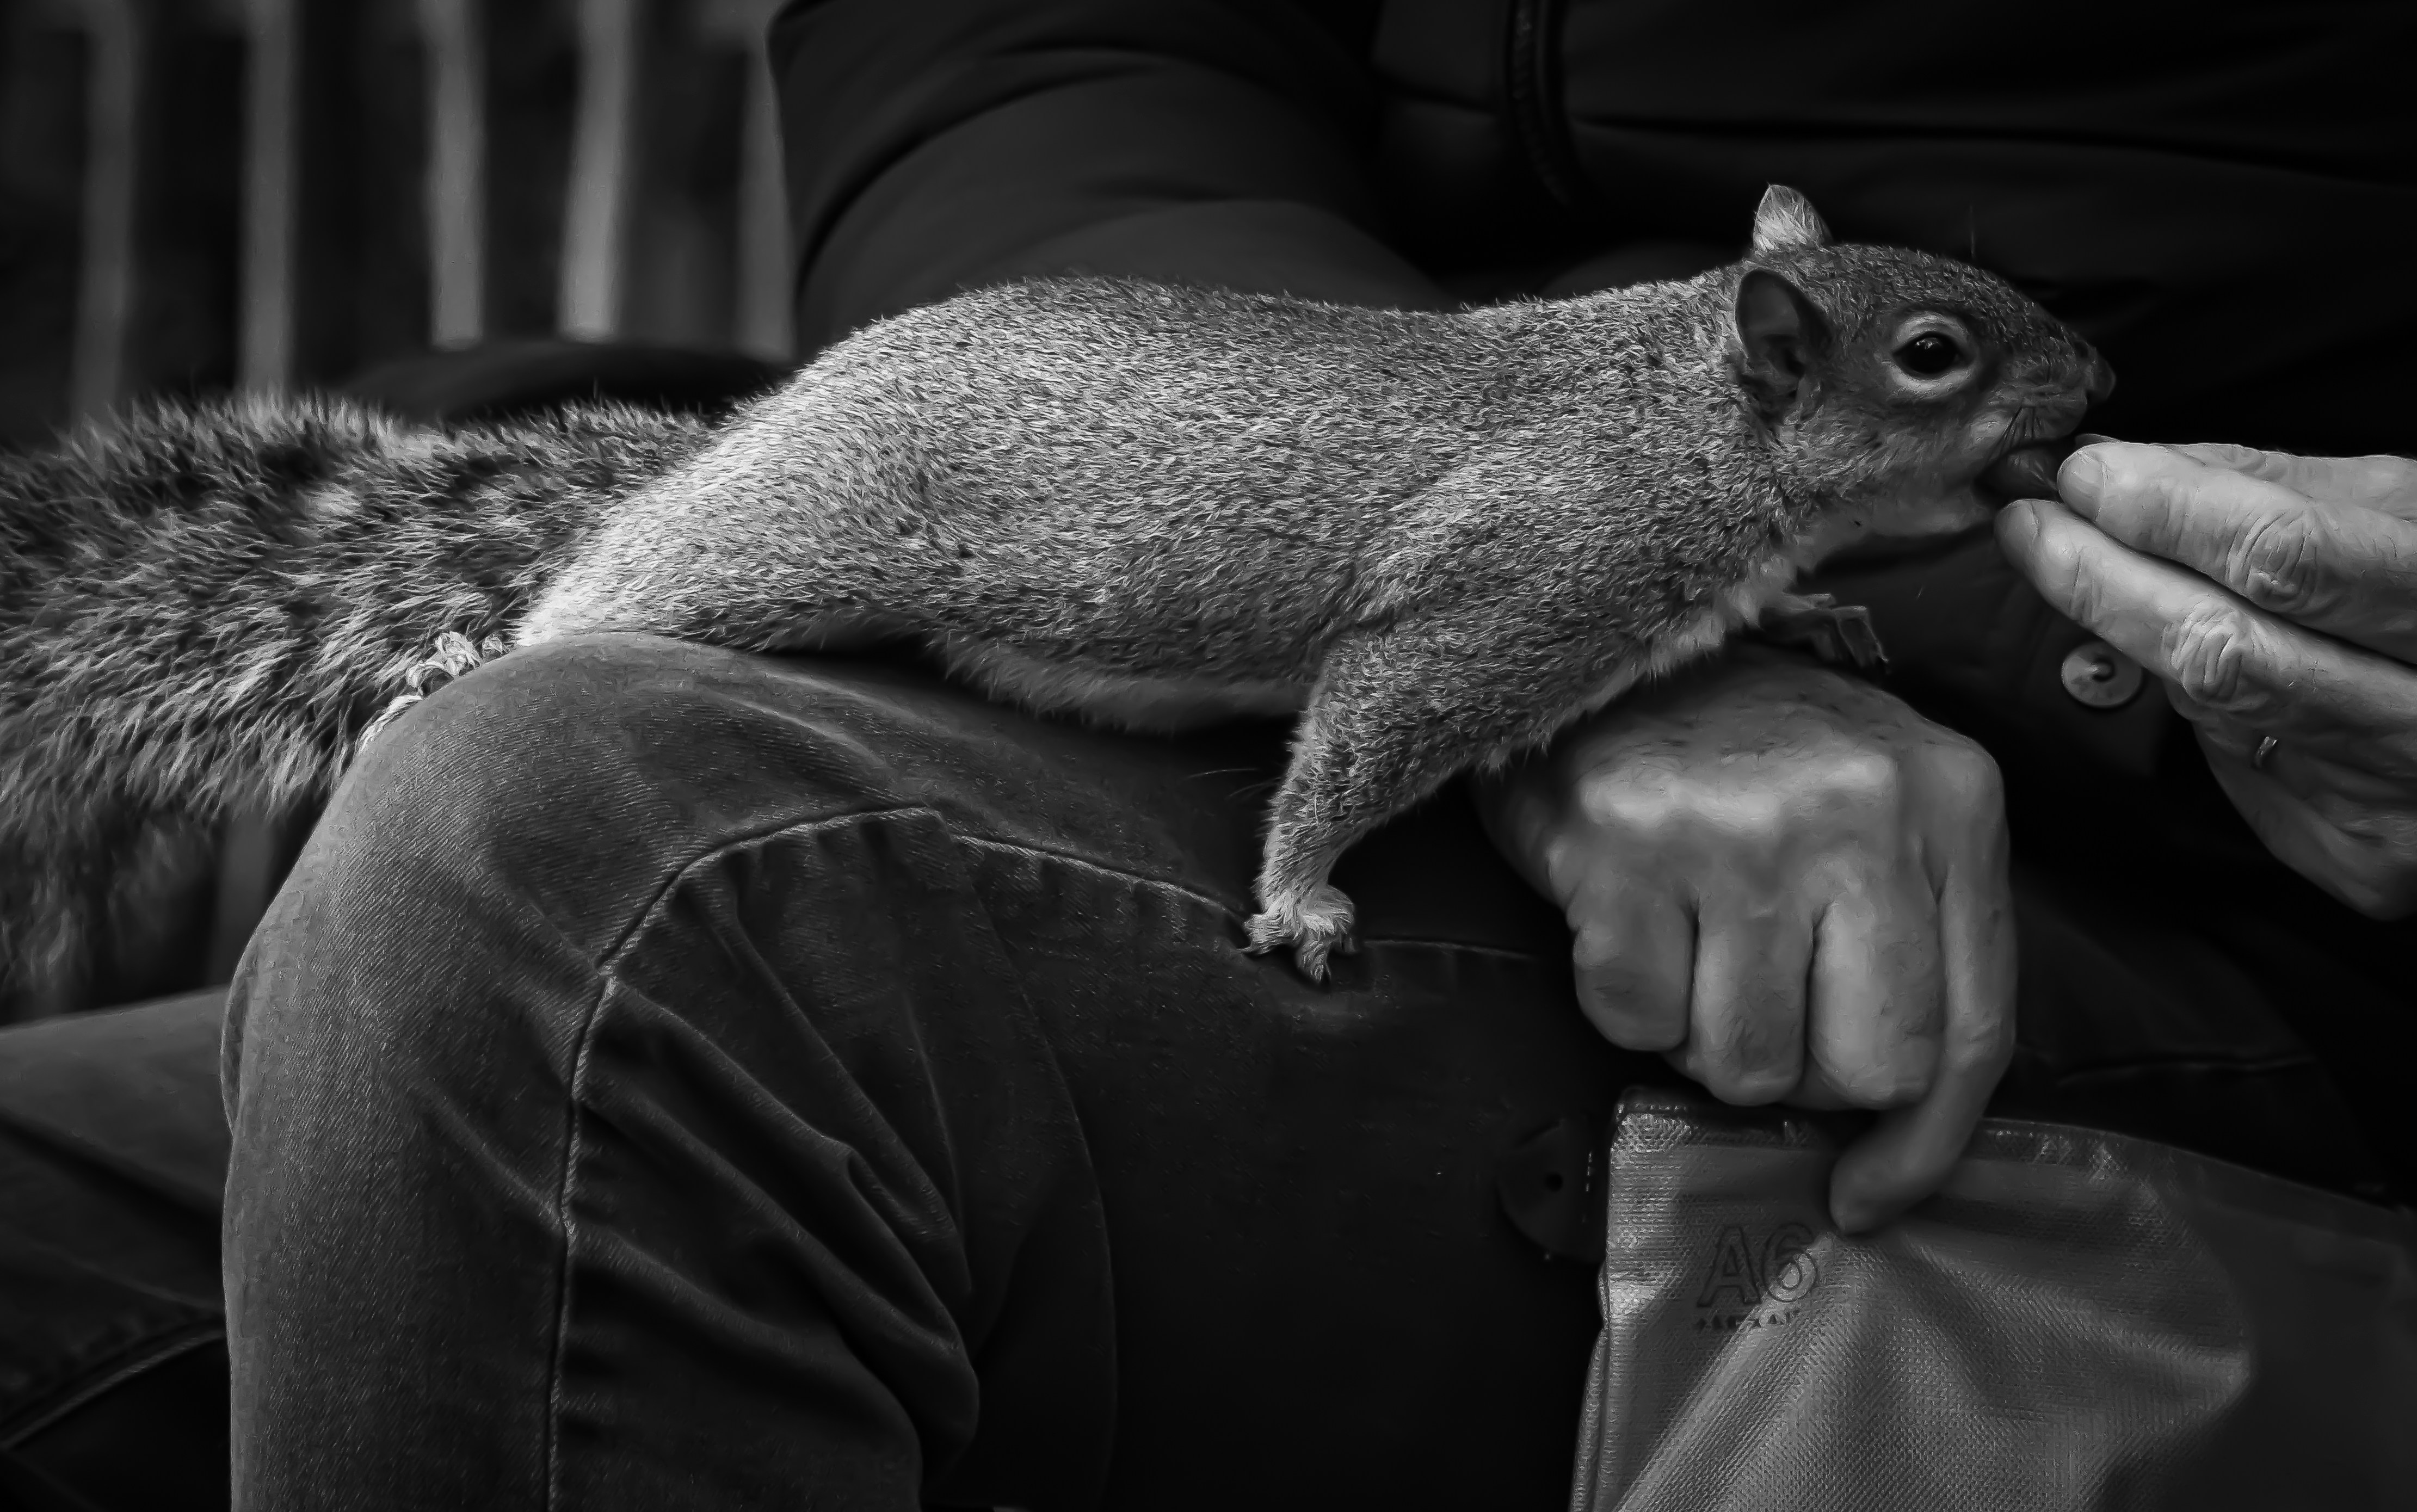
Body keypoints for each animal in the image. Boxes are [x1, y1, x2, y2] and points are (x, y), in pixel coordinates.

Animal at [0, 186, 2109, 1015]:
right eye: (1934, 352)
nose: (2100, 381)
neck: (1679, 414)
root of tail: (750, 429)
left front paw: (1815, 622)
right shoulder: (1505, 590)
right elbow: (1364, 731)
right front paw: (1303, 895)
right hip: (778, 549)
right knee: (592, 591)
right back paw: (474, 646)